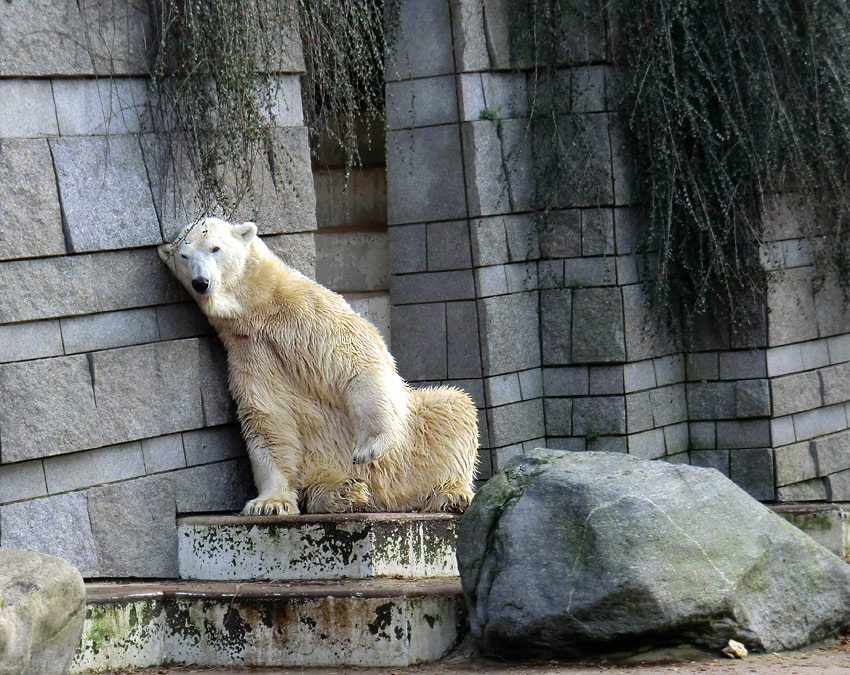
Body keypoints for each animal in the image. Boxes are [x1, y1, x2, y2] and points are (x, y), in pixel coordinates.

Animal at [157, 219, 476, 516]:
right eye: (184, 255)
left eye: (215, 248)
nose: (201, 282)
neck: (260, 310)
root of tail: (387, 497)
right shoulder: (250, 355)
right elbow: (268, 421)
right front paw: (268, 503)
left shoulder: (309, 315)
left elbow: (358, 359)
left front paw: (370, 445)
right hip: (319, 461)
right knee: (323, 481)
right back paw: (346, 493)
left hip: (412, 439)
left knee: (451, 411)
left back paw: (450, 495)